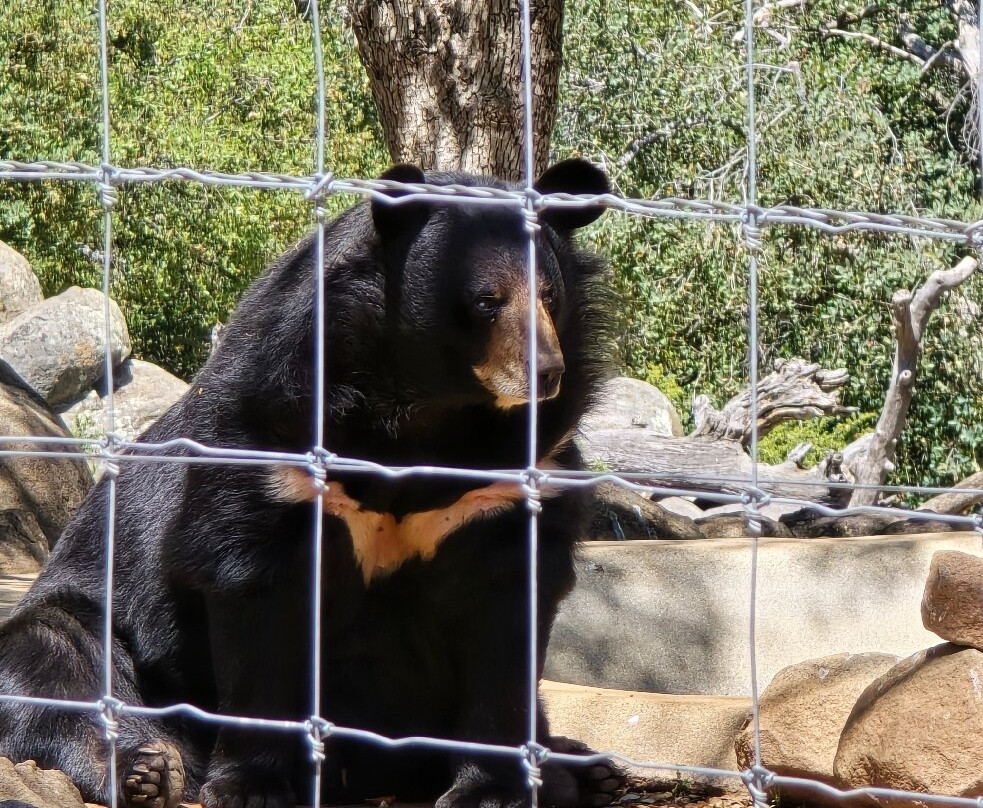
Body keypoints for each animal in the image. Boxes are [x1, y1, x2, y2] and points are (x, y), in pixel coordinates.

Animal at [0, 158, 618, 808]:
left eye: (550, 296)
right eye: (485, 301)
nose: (546, 372)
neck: (425, 410)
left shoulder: (511, 486)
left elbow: (508, 620)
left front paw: (491, 791)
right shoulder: (271, 446)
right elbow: (255, 602)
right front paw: (252, 787)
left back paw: (585, 769)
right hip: (94, 623)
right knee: (52, 661)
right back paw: (146, 770)